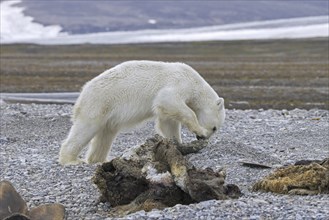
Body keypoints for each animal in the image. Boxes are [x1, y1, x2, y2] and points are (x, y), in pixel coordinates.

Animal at [57, 60, 224, 165]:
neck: (195, 82)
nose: (203, 138)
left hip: (107, 115)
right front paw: (198, 131)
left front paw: (177, 144)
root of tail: (82, 93)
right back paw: (72, 160)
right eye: (214, 128)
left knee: (105, 136)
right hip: (99, 104)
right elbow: (168, 100)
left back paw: (100, 159)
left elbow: (167, 121)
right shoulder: (179, 83)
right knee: (84, 130)